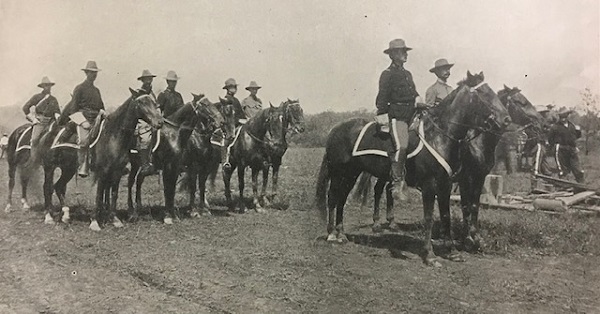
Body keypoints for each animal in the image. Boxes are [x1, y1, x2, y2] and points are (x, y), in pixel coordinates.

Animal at [86, 88, 162, 231]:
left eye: (154, 102)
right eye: (142, 102)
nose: (160, 122)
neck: (113, 136)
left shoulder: (117, 170)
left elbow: (114, 193)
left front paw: (114, 219)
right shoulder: (102, 171)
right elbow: (98, 194)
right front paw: (94, 221)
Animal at [129, 95, 225, 223]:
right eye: (205, 105)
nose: (221, 121)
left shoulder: (193, 167)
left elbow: (178, 189)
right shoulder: (180, 167)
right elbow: (171, 189)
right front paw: (171, 215)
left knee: (139, 179)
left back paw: (138, 208)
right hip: (135, 165)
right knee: (131, 182)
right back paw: (132, 212)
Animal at [316, 72, 508, 266]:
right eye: (483, 93)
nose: (506, 119)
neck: (439, 136)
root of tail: (335, 129)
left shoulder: (446, 184)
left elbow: (446, 215)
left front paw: (452, 252)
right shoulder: (432, 185)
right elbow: (429, 218)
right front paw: (430, 255)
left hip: (351, 174)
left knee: (341, 199)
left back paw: (341, 234)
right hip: (339, 172)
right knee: (333, 198)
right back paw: (332, 234)